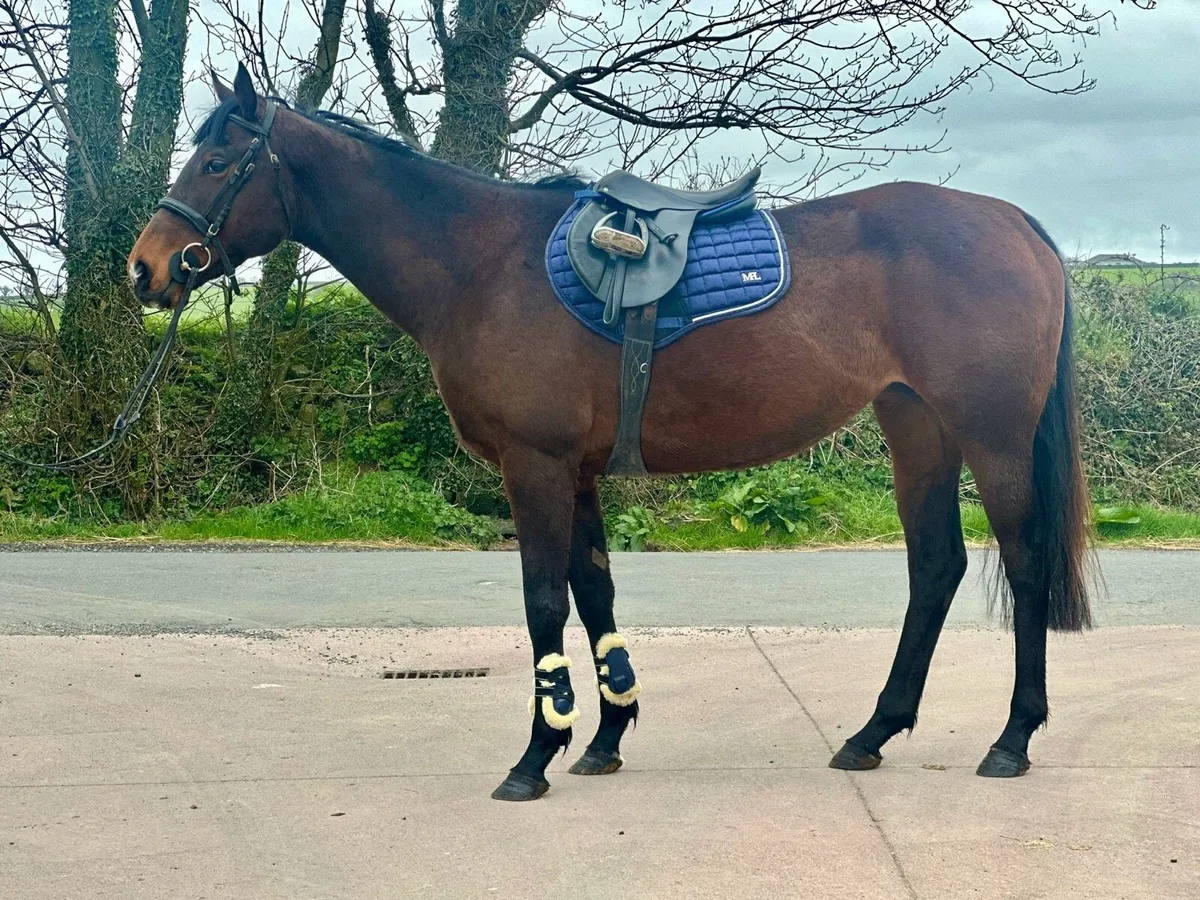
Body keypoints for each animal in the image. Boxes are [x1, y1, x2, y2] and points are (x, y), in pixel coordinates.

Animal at [129, 64, 1093, 801]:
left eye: (218, 160)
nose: (146, 268)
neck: (481, 263)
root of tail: (1014, 223)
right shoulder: (578, 470)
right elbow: (595, 593)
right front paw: (603, 734)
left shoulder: (535, 466)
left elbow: (543, 602)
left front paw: (536, 753)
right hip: (915, 427)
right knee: (936, 567)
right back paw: (874, 732)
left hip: (991, 438)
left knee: (1023, 560)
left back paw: (1012, 738)